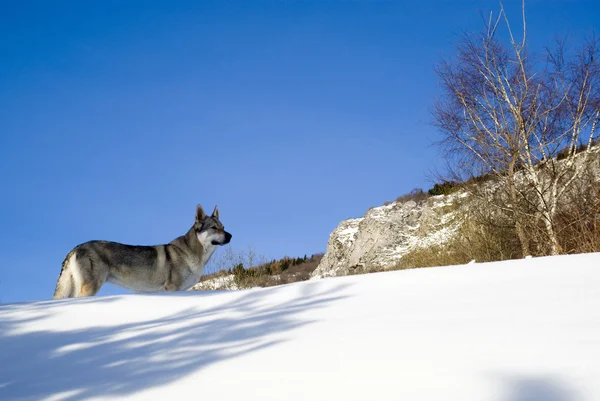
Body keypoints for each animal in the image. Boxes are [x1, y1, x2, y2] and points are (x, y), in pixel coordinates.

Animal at [52, 206, 231, 296]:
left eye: (223, 227)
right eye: (214, 228)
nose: (230, 235)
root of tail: (75, 248)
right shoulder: (171, 289)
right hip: (90, 288)